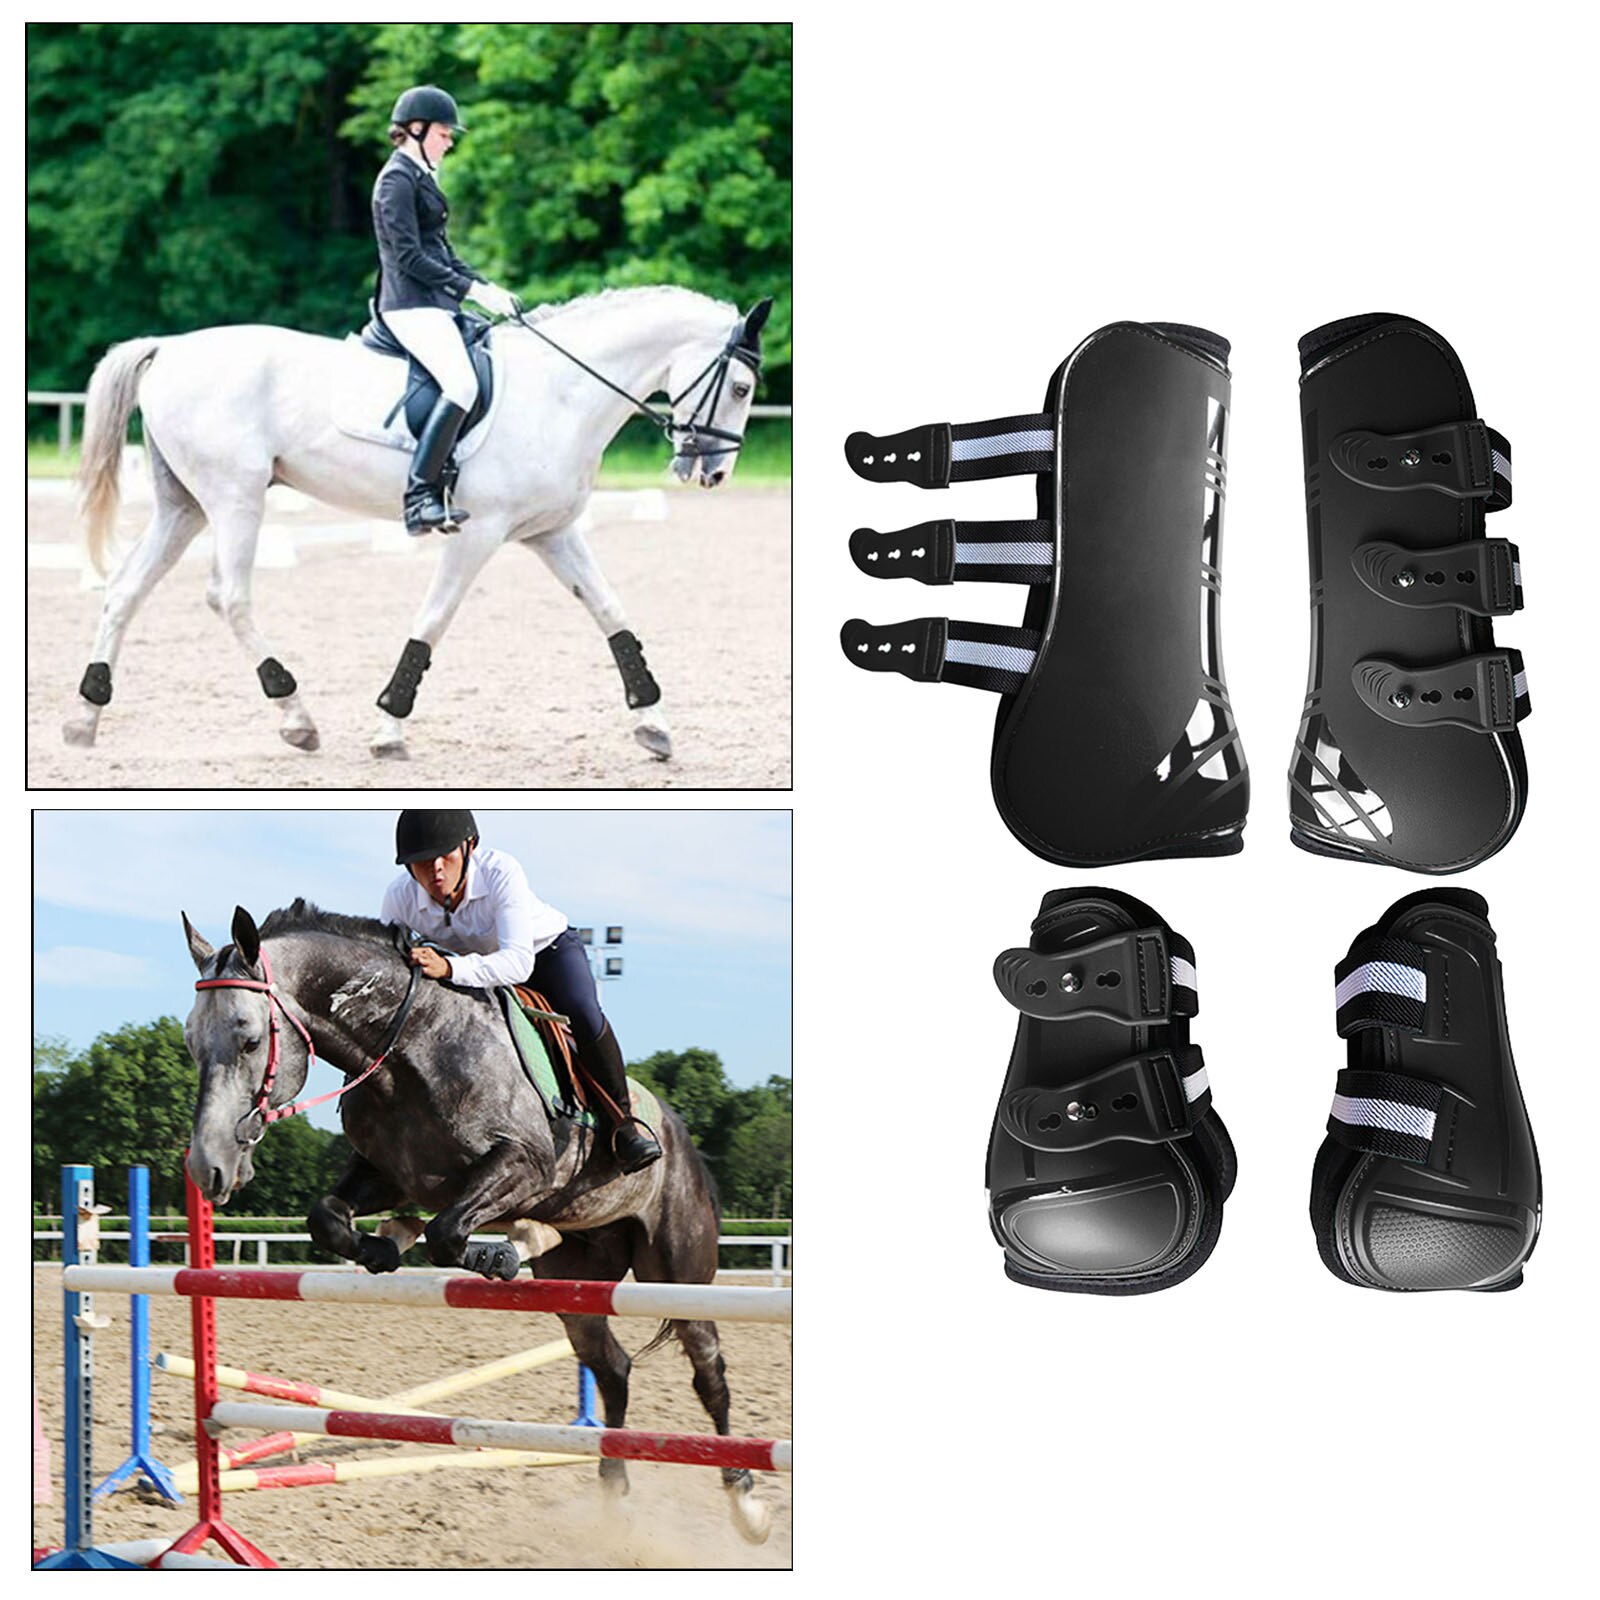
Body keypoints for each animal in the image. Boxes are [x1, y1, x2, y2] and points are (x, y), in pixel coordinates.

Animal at [67, 286, 772, 762]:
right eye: (740, 388)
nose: (711, 473)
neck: (560, 393)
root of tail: (169, 348)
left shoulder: (551, 532)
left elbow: (610, 611)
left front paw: (653, 723)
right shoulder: (479, 532)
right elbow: (433, 621)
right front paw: (389, 728)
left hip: (183, 504)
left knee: (126, 589)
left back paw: (85, 717)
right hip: (235, 497)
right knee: (227, 595)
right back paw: (295, 716)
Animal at [181, 901, 774, 1543]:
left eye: (249, 1039)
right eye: (190, 1042)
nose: (207, 1168)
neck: (410, 1047)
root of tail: (674, 1126)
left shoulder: (526, 1164)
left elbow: (447, 1233)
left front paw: (495, 1253)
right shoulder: (390, 1175)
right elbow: (328, 1219)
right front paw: (385, 1246)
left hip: (679, 1270)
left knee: (708, 1369)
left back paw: (747, 1506)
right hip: (574, 1281)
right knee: (612, 1367)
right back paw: (614, 1501)